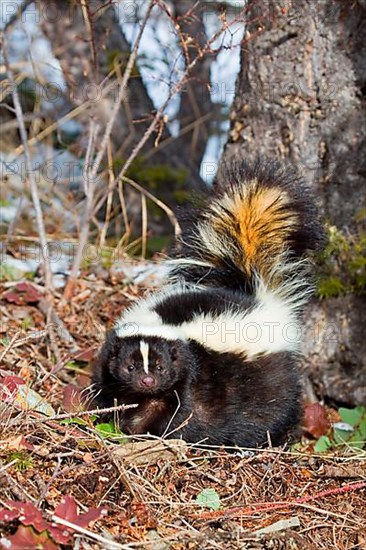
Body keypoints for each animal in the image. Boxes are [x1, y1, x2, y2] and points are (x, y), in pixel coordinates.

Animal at [92, 158, 324, 448]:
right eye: (129, 366)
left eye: (161, 367)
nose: (147, 381)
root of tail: (256, 295)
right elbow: (112, 393)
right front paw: (117, 421)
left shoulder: (193, 376)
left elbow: (181, 411)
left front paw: (148, 430)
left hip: (270, 378)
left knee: (275, 408)